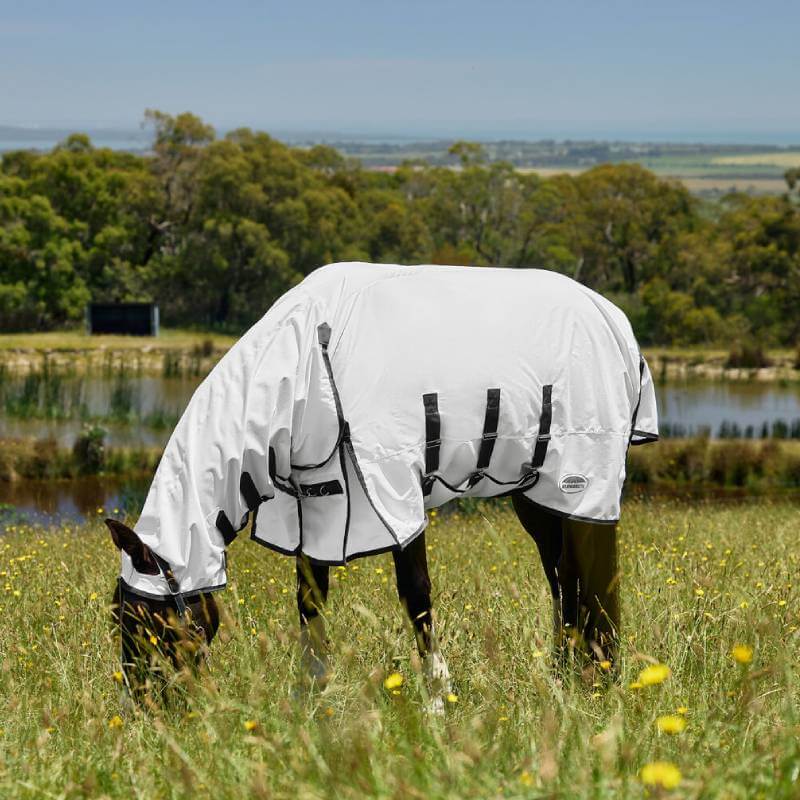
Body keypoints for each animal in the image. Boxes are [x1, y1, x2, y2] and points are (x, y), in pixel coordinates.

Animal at [108, 262, 658, 707]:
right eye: (119, 618)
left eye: (150, 623)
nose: (147, 712)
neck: (310, 362)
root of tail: (614, 319)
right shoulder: (319, 508)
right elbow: (311, 605)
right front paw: (312, 704)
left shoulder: (395, 493)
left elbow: (416, 598)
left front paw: (437, 702)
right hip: (535, 496)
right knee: (563, 578)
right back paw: (568, 678)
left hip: (580, 480)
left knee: (592, 575)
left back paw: (597, 681)